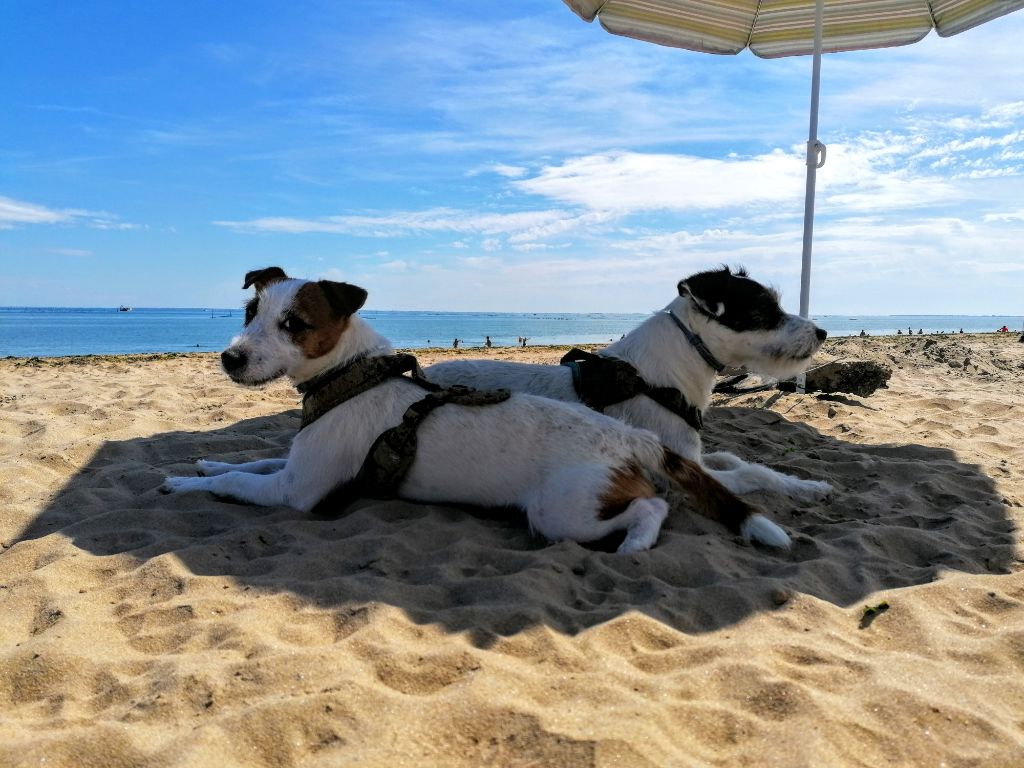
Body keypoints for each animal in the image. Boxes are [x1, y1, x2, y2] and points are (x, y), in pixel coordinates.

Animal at [161, 268, 790, 552]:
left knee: (652, 507)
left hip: (562, 513)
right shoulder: (293, 466)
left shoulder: (296, 492)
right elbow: (250, 461)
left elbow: (238, 482)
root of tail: (631, 439)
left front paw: (188, 484)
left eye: (293, 324)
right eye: (250, 314)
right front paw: (205, 465)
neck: (351, 379)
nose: (229, 359)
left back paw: (635, 544)